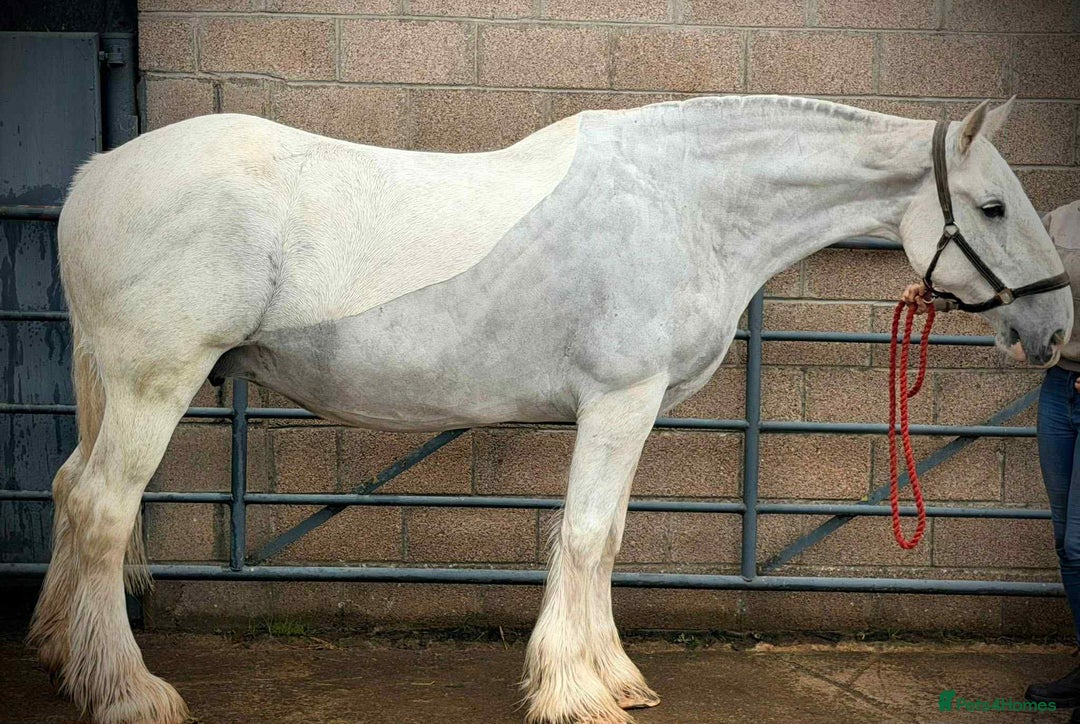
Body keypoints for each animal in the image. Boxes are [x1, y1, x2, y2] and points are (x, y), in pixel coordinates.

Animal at [28, 94, 1071, 724]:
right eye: (989, 207)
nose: (1054, 329)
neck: (683, 201)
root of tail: (99, 175)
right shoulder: (618, 401)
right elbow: (584, 534)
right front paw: (575, 690)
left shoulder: (630, 412)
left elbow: (604, 541)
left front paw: (613, 677)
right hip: (154, 383)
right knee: (105, 512)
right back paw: (128, 692)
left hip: (118, 387)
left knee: (69, 492)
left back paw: (62, 655)